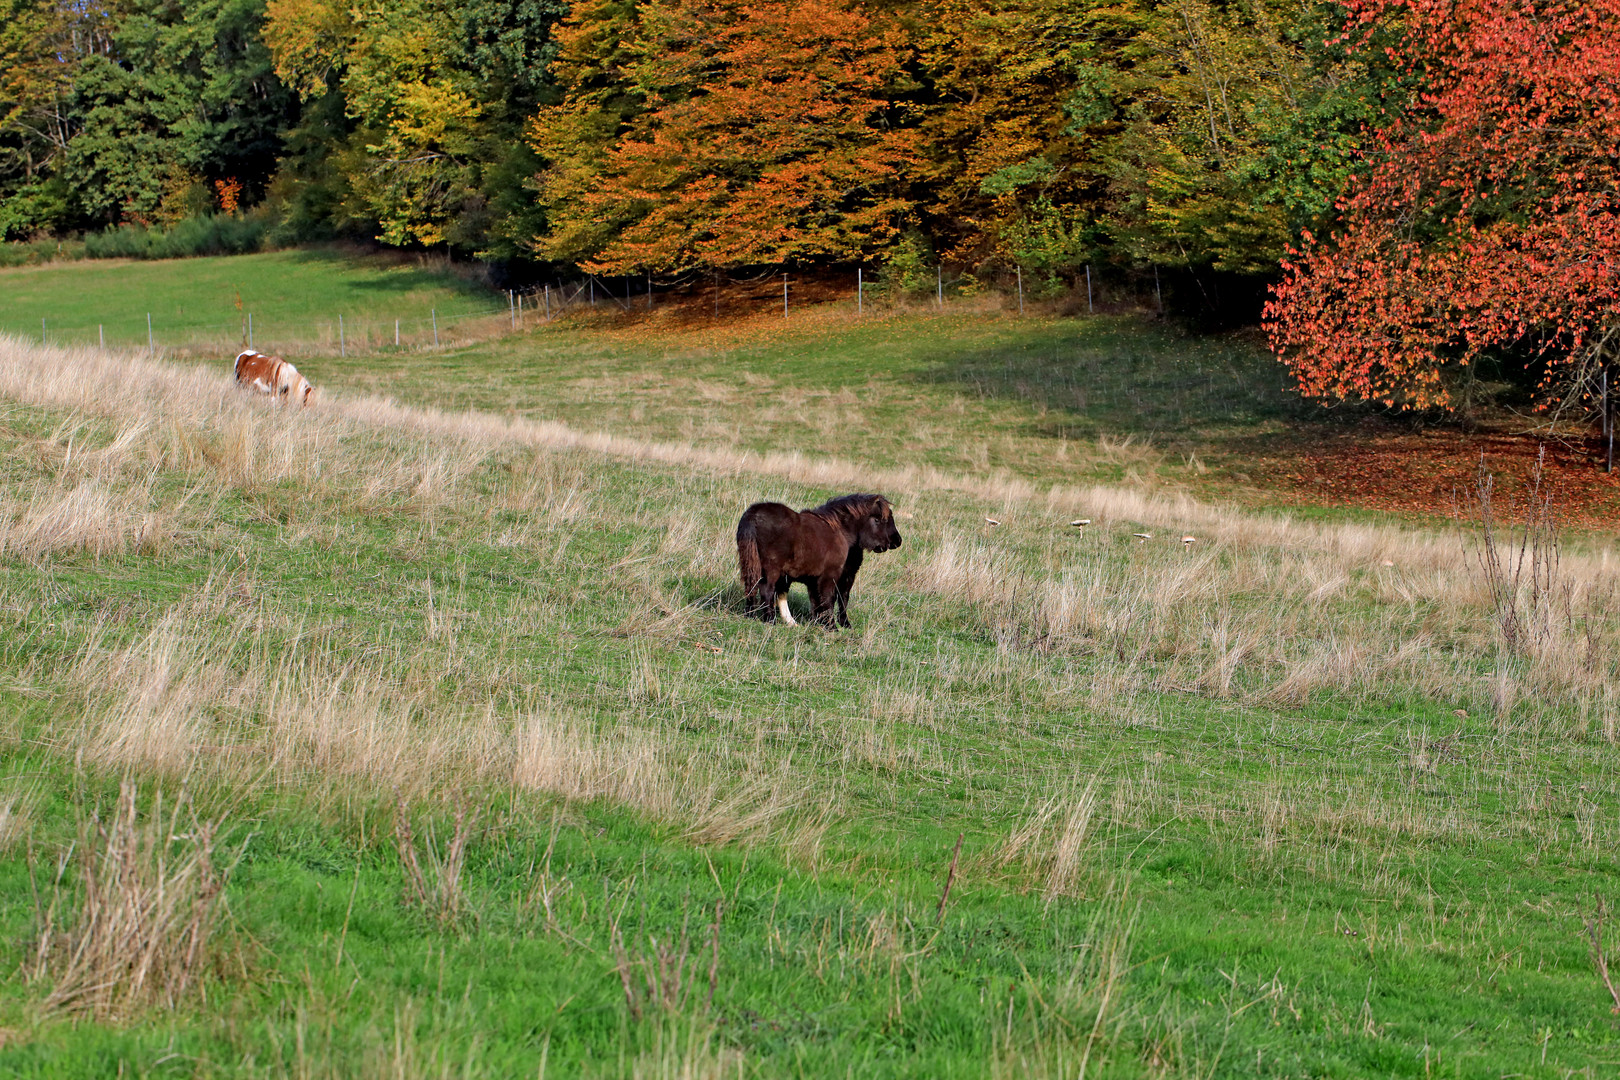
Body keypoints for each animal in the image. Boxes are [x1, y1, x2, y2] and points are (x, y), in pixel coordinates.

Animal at [741, 495, 907, 628]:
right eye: (879, 520)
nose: (897, 541)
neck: (841, 531)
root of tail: (753, 515)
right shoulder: (833, 576)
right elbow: (832, 599)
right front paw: (834, 626)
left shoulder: (816, 580)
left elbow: (818, 601)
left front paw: (820, 623)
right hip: (772, 570)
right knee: (767, 590)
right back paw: (771, 620)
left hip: (753, 565)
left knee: (752, 587)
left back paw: (755, 616)